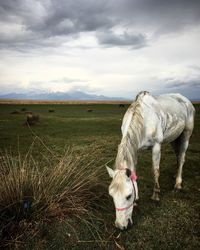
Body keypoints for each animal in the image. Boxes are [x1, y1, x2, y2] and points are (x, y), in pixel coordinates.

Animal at [107, 92, 195, 230]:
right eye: (112, 196)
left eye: (129, 196)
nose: (121, 226)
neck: (143, 119)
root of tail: (184, 99)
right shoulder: (135, 149)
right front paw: (137, 200)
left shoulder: (156, 146)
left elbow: (155, 171)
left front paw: (155, 196)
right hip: (174, 138)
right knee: (178, 155)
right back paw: (175, 175)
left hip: (186, 135)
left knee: (181, 157)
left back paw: (178, 183)